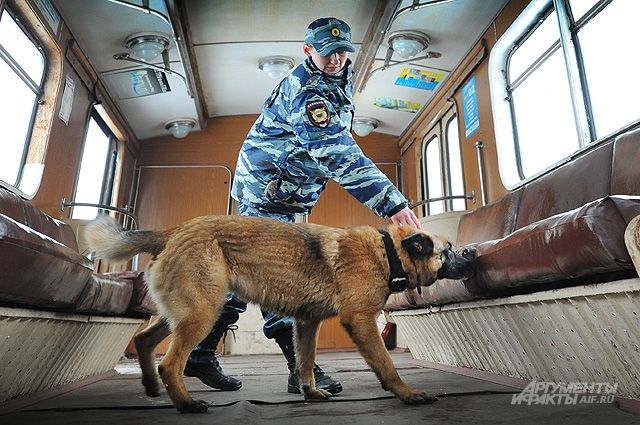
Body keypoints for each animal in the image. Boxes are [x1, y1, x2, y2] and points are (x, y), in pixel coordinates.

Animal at [85, 215, 472, 410]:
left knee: (144, 340)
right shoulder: (360, 320)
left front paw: (310, 393)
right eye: (448, 251)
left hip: (183, 314)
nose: (470, 254)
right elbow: (387, 365)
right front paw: (407, 394)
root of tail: (175, 230)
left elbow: (304, 362)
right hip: (202, 312)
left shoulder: (307, 323)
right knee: (170, 362)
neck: (388, 250)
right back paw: (186, 403)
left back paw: (152, 386)